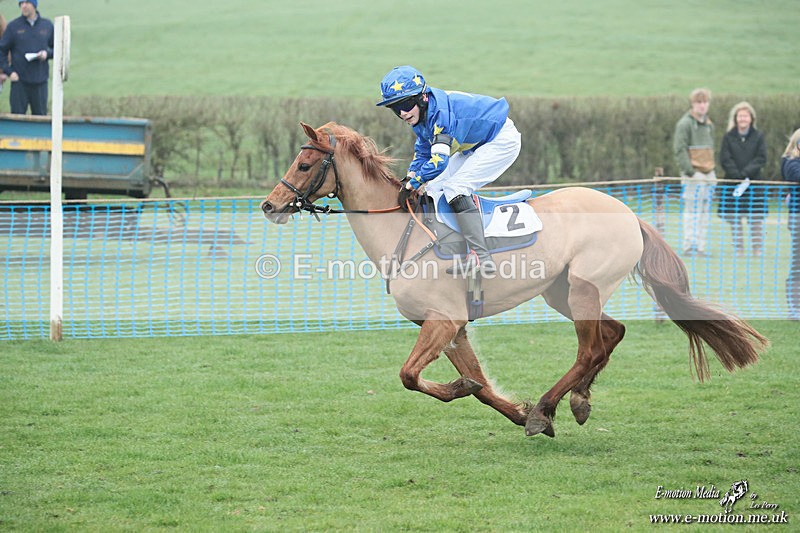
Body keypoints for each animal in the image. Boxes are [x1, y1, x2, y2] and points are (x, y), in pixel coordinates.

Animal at [260, 121, 768, 438]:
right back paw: (574, 401)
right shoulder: (451, 327)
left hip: (583, 288)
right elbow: (480, 385)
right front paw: (511, 408)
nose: (269, 205)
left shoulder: (443, 320)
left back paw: (549, 407)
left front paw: (493, 401)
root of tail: (629, 213)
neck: (402, 232)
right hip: (561, 292)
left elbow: (410, 375)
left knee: (590, 348)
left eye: (303, 165)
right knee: (612, 333)